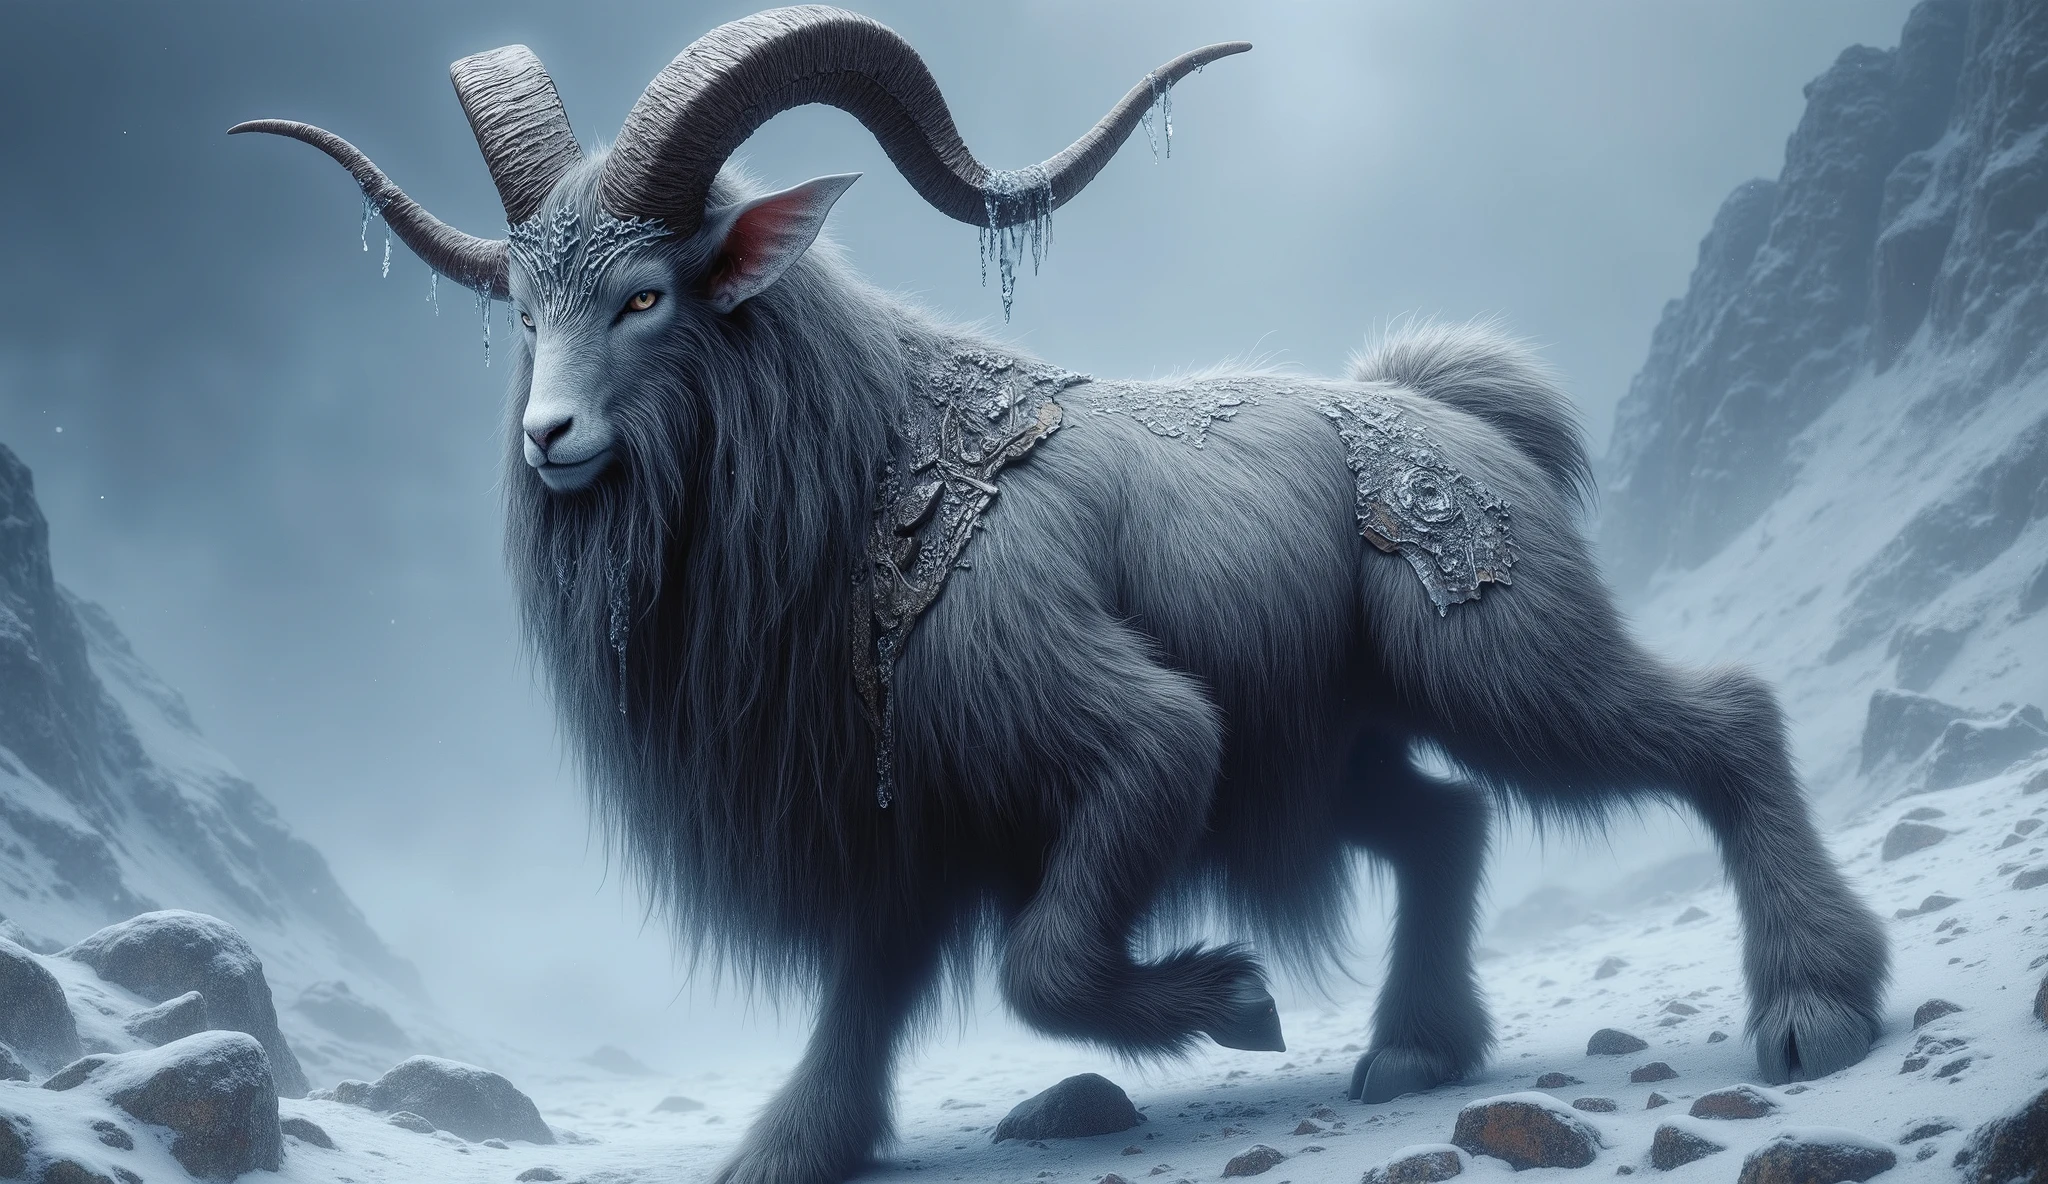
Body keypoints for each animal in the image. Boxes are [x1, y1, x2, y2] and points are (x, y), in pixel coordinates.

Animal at [236, 8, 1889, 1182]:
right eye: (524, 313)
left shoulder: (1134, 743)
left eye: (648, 295)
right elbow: (867, 995)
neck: (877, 467)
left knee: (1722, 724)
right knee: (1447, 823)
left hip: (1499, 659)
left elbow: (1043, 966)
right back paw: (1419, 1054)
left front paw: (1234, 1001)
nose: (552, 438)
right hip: (1338, 743)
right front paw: (789, 1151)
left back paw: (1816, 1006)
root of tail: (1452, 409)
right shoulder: (898, 825)